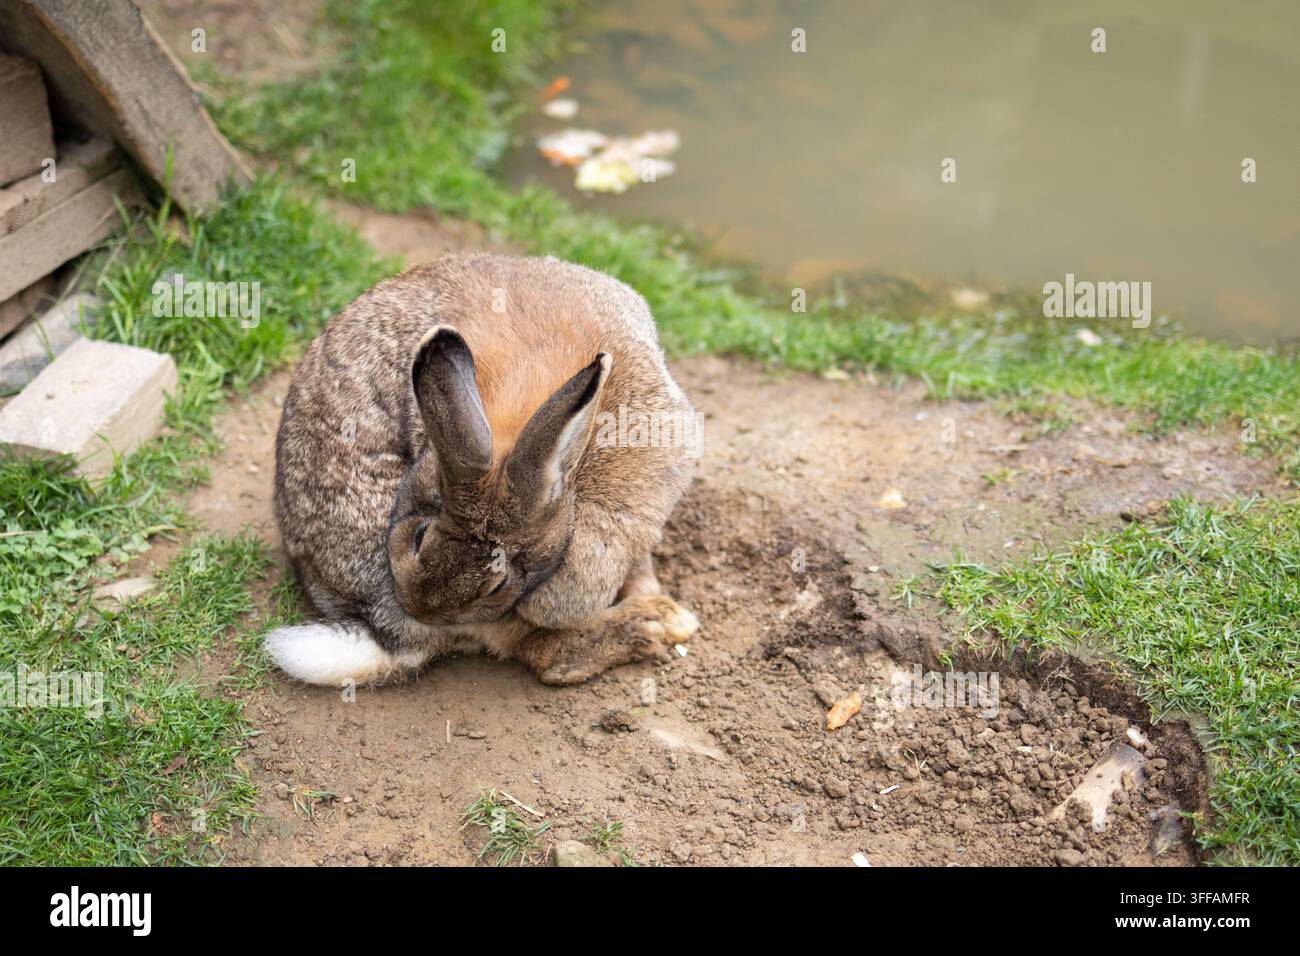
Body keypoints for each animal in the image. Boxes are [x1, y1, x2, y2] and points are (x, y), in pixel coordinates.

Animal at [265, 253, 701, 687]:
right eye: (421, 538)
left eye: (499, 584)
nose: (422, 607)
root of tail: (390, 631)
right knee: (545, 655)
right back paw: (661, 621)